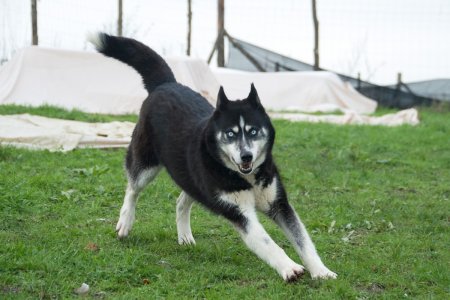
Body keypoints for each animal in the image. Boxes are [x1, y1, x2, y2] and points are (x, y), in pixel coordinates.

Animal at [90, 34, 338, 282]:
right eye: (230, 133)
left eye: (253, 131)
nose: (246, 155)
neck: (245, 177)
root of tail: (166, 84)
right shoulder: (239, 213)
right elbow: (267, 242)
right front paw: (289, 268)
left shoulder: (279, 204)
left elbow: (303, 240)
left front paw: (321, 271)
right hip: (147, 164)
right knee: (132, 188)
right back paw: (125, 221)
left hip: (195, 180)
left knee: (181, 201)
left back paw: (184, 235)